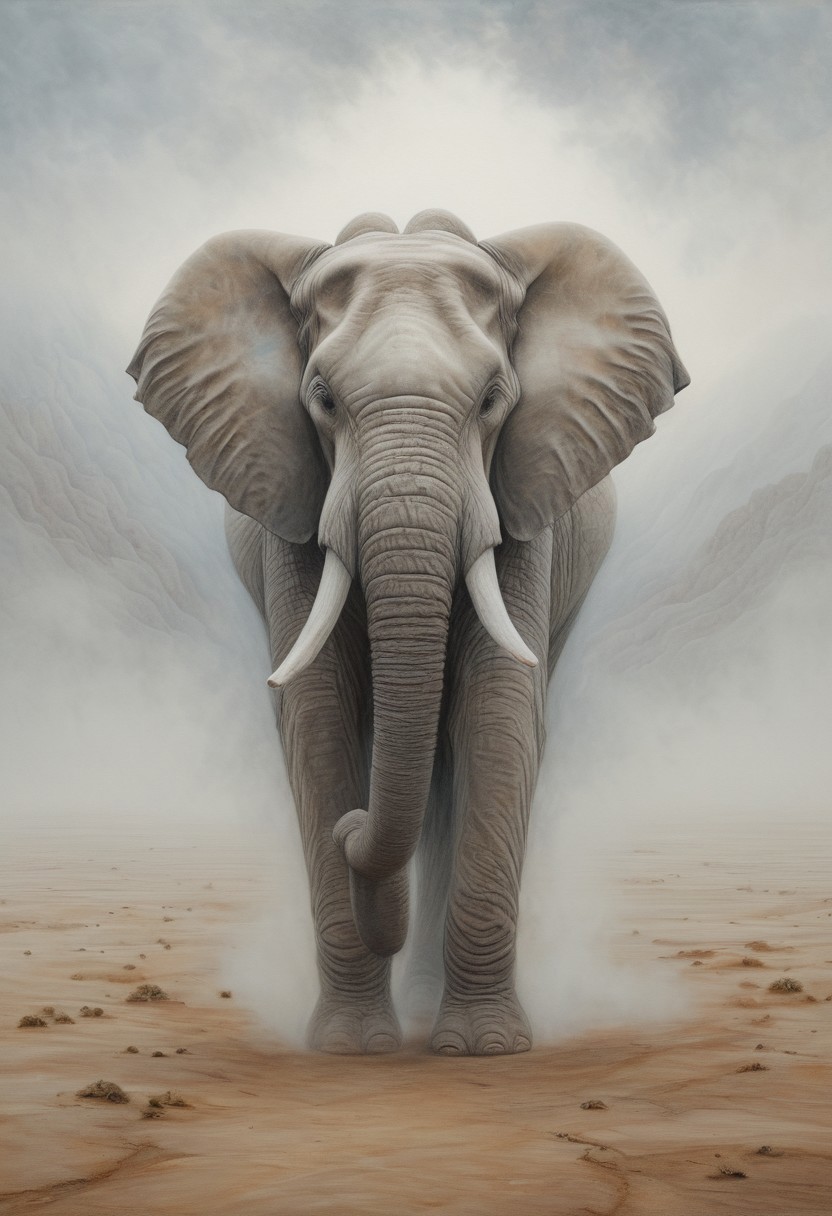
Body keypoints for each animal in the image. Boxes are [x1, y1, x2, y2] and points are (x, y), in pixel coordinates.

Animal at [128, 208, 688, 1056]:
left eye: (492, 399)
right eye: (322, 399)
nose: (352, 830)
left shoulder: (521, 502)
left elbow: (497, 714)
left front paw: (485, 1049)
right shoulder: (292, 511)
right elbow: (318, 720)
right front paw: (353, 1049)